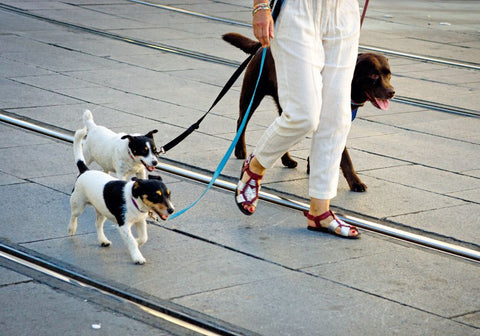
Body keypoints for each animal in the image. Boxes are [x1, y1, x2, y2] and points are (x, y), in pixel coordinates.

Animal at [68, 130, 175, 264]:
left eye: (169, 195)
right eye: (156, 196)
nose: (172, 210)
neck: (134, 201)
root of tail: (85, 171)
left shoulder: (140, 221)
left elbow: (143, 238)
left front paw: (138, 242)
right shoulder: (123, 225)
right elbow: (131, 241)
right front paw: (137, 257)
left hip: (103, 210)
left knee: (98, 224)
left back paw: (103, 240)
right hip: (78, 204)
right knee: (74, 216)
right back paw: (72, 229)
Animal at [223, 33, 396, 194]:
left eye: (389, 75)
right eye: (373, 75)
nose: (392, 92)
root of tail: (263, 46)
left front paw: (312, 167)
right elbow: (345, 159)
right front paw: (355, 182)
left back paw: (287, 160)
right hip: (252, 93)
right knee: (242, 121)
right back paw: (240, 150)